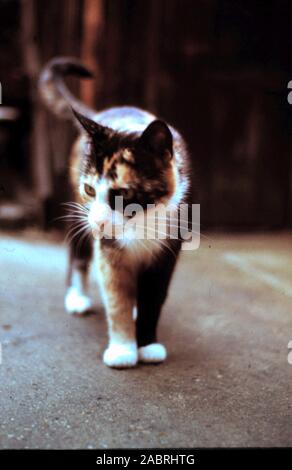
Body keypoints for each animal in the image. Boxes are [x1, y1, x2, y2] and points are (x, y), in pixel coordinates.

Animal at [38, 57, 192, 368]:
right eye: (89, 189)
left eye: (123, 194)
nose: (99, 220)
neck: (139, 225)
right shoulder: (109, 251)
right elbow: (117, 297)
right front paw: (123, 350)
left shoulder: (167, 251)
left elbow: (153, 298)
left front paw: (148, 345)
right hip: (78, 218)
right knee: (77, 255)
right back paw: (77, 298)